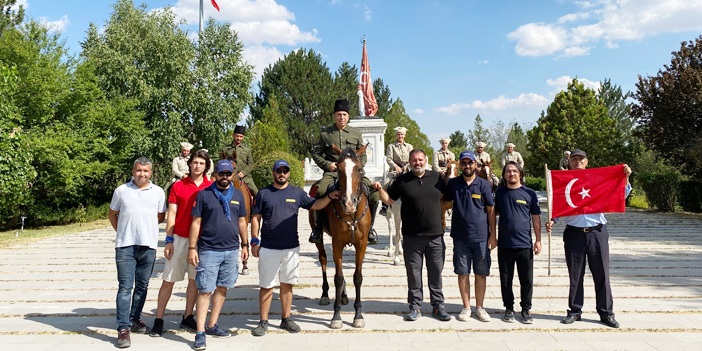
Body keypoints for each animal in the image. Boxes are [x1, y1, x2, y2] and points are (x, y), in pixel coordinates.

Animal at [310, 143, 374, 330]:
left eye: (359, 169)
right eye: (338, 169)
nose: (349, 203)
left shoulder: (361, 244)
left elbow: (357, 277)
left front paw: (358, 314)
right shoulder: (337, 243)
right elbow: (337, 278)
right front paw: (336, 316)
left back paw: (344, 295)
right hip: (320, 238)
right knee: (323, 260)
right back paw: (325, 294)